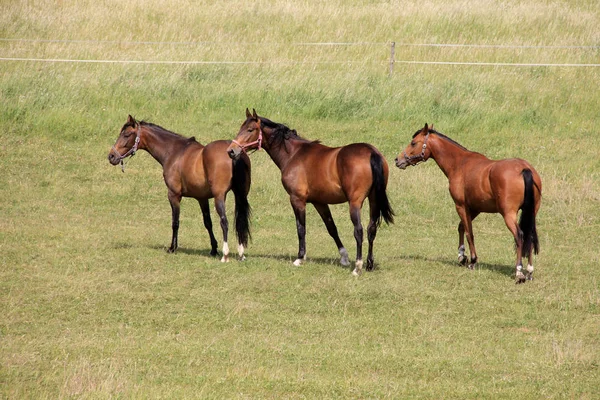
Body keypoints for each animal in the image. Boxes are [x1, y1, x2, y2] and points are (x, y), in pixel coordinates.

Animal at [108, 115, 251, 262]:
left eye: (126, 134)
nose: (111, 156)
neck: (174, 152)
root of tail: (234, 153)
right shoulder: (202, 198)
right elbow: (208, 222)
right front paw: (213, 249)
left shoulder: (174, 195)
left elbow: (175, 222)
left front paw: (172, 248)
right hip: (240, 195)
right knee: (240, 221)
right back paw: (241, 253)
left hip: (220, 197)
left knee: (224, 222)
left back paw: (225, 255)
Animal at [226, 109, 394, 276]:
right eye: (241, 128)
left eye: (250, 129)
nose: (231, 151)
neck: (293, 154)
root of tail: (372, 153)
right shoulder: (319, 202)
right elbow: (332, 228)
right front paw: (344, 257)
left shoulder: (297, 200)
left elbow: (301, 228)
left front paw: (300, 258)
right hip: (374, 200)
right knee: (371, 229)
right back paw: (369, 264)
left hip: (355, 203)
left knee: (359, 231)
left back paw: (358, 267)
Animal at [394, 123, 544, 282]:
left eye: (413, 143)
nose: (397, 160)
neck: (460, 163)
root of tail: (524, 169)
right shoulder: (475, 208)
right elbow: (462, 227)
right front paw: (461, 256)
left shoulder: (461, 206)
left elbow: (468, 232)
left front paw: (472, 260)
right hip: (531, 213)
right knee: (530, 236)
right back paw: (529, 271)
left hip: (508, 214)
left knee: (519, 236)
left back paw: (519, 272)